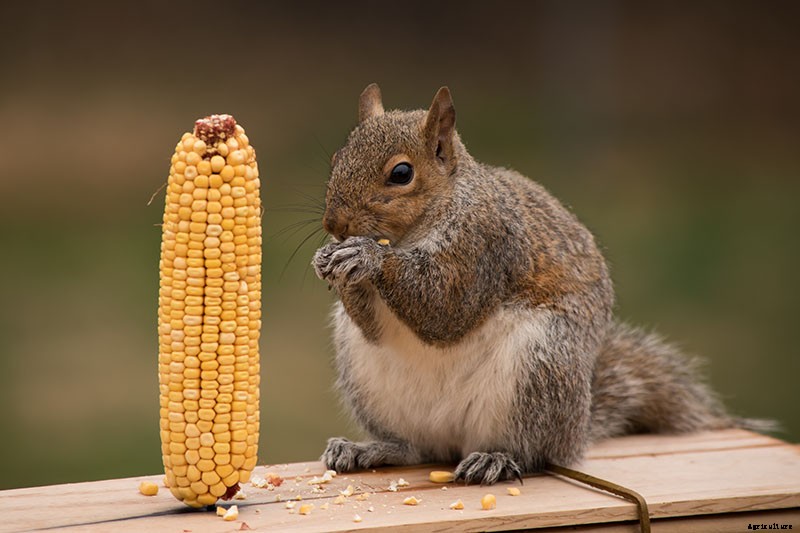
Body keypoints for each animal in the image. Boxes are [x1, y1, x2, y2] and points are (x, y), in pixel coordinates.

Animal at [312, 83, 768, 484]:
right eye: (335, 158)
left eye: (401, 173)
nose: (335, 225)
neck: (413, 232)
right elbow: (373, 326)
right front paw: (328, 260)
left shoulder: (486, 246)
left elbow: (446, 308)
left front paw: (366, 257)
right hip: (368, 379)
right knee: (415, 448)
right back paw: (370, 449)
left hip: (541, 367)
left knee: (534, 453)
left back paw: (496, 459)